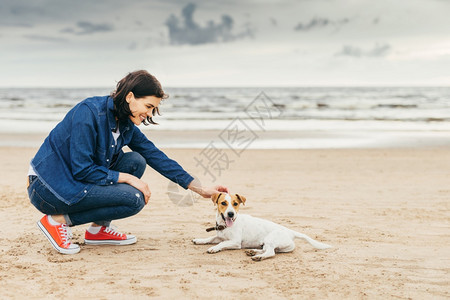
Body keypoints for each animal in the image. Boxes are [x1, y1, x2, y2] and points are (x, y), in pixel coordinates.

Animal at [192, 192, 332, 260]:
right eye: (223, 203)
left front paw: (214, 248)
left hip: (271, 239)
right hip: (271, 244)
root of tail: (290, 232)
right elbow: (210, 238)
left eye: (235, 204)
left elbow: (221, 243)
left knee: (270, 252)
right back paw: (253, 251)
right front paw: (199, 240)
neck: (225, 226)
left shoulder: (235, 242)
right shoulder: (219, 236)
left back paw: (258, 256)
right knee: (269, 250)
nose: (231, 214)